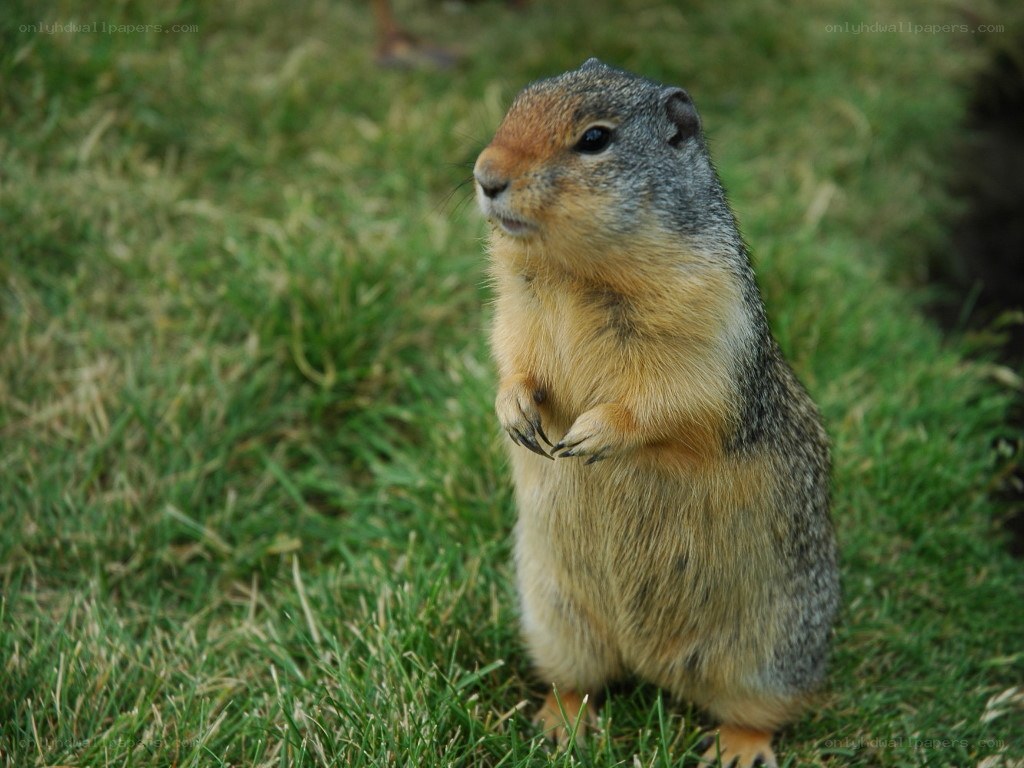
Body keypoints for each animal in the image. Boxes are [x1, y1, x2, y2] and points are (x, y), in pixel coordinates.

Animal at [473, 59, 839, 768]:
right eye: (515, 105)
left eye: (595, 139)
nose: (484, 175)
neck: (571, 272)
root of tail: (652, 665)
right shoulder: (516, 308)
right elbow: (513, 355)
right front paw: (517, 413)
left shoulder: (706, 314)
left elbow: (670, 395)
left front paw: (589, 436)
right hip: (555, 617)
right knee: (582, 680)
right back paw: (561, 722)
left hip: (773, 652)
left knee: (762, 709)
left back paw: (737, 747)